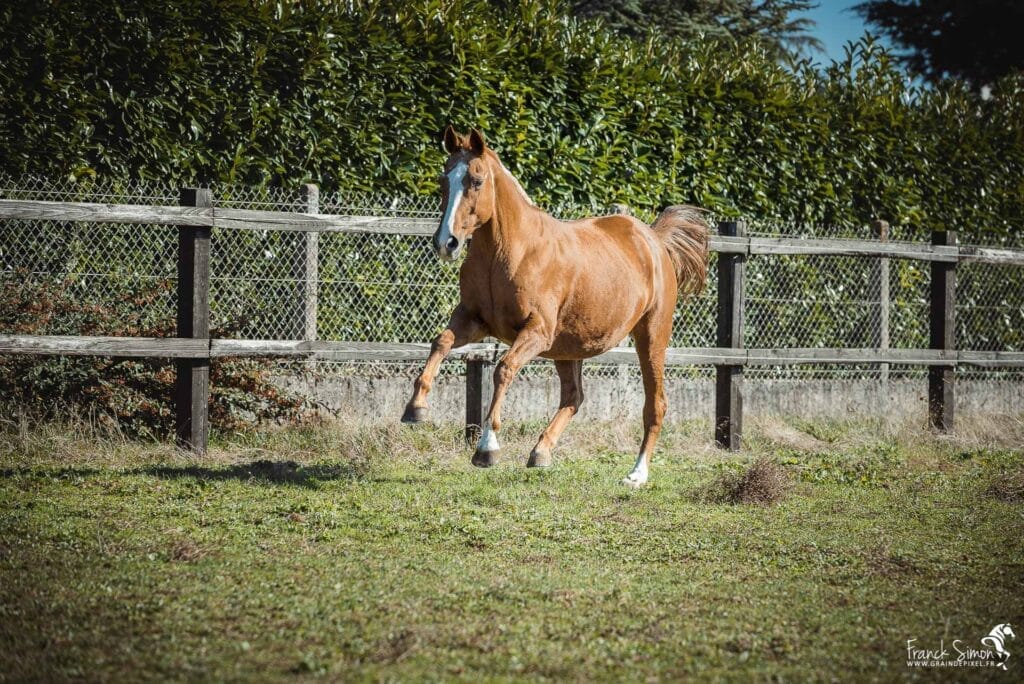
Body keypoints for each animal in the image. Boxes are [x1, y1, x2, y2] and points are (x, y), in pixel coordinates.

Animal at [401, 126, 708, 486]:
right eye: (443, 179)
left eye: (476, 180)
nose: (445, 243)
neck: (509, 252)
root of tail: (654, 240)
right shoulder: (473, 320)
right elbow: (441, 342)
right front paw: (415, 410)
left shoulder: (536, 332)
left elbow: (503, 369)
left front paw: (487, 449)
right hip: (567, 347)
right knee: (574, 397)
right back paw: (541, 453)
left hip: (650, 336)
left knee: (655, 404)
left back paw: (636, 473)